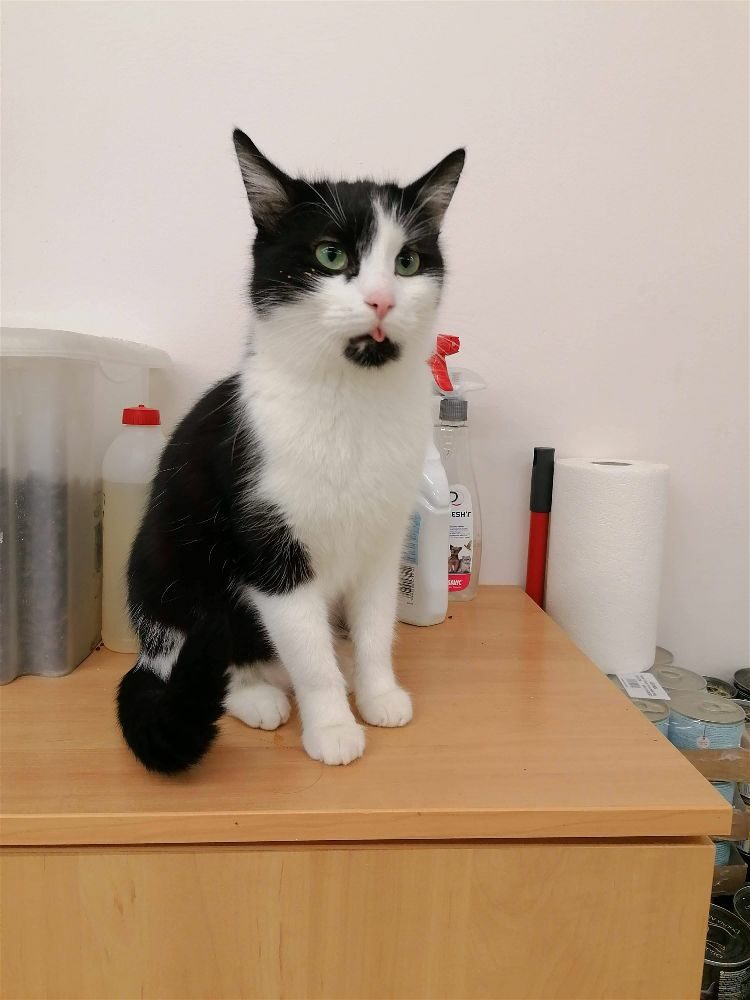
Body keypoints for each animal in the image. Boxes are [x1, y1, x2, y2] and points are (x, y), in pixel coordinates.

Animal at [117, 129, 464, 774]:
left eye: (407, 262)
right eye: (331, 256)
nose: (382, 300)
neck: (350, 404)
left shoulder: (383, 542)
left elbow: (376, 627)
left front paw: (377, 692)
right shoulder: (270, 551)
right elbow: (307, 651)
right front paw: (331, 725)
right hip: (167, 570)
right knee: (199, 655)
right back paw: (257, 695)